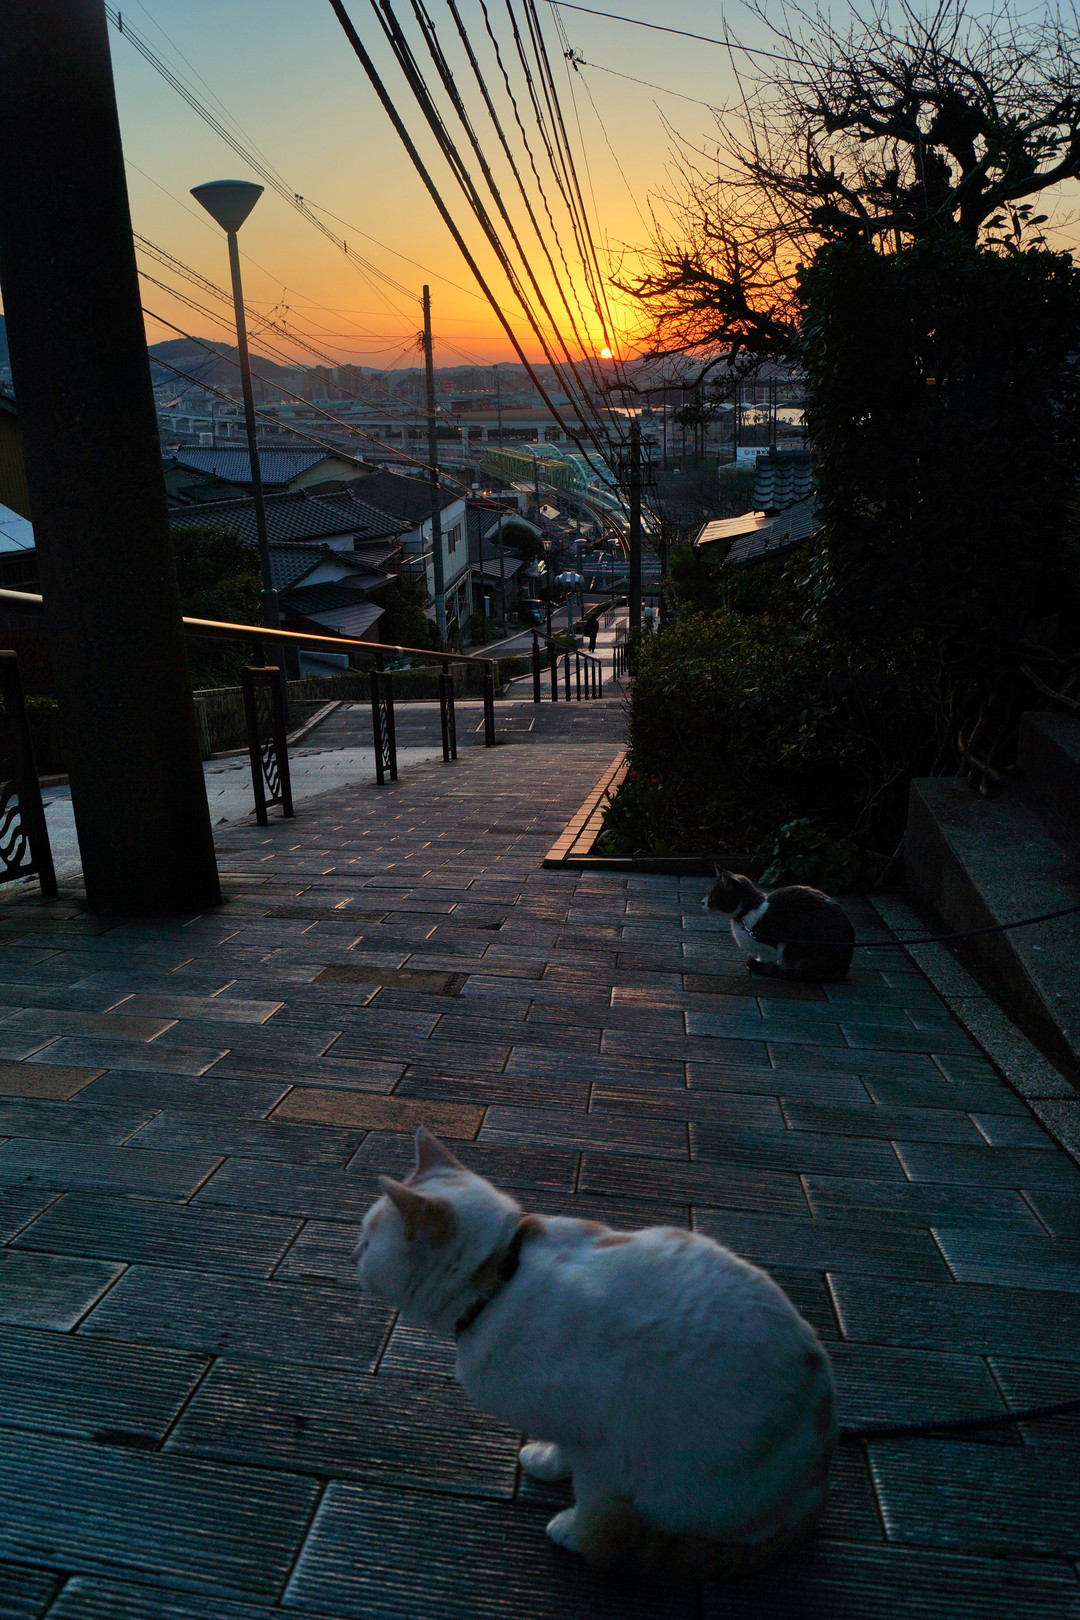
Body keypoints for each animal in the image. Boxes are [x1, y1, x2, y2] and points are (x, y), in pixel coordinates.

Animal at [355, 1126, 837, 1577]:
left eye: (368, 1239)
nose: (353, 1251)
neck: (499, 1279)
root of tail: (816, 1487)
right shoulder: (569, 1426)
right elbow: (561, 1447)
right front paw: (549, 1460)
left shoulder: (602, 1449)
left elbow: (594, 1505)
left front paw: (577, 1532)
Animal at [703, 868, 855, 983]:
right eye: (707, 894)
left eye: (712, 897)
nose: (702, 902)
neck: (747, 910)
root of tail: (843, 968)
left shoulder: (772, 943)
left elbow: (768, 956)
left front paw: (762, 964)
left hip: (799, 943)